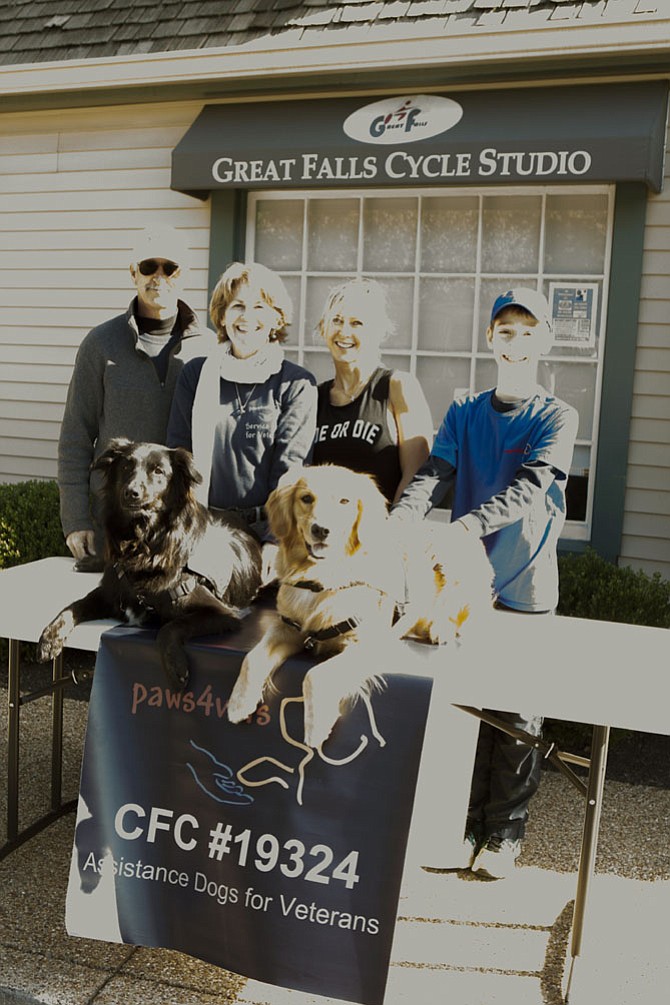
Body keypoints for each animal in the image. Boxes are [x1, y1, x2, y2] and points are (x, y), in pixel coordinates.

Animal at [38, 440, 265, 691]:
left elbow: (171, 626)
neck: (143, 548)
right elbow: (72, 606)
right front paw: (50, 638)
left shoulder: (224, 613)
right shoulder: (107, 592)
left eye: (158, 471)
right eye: (126, 466)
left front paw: (176, 667)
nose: (131, 492)